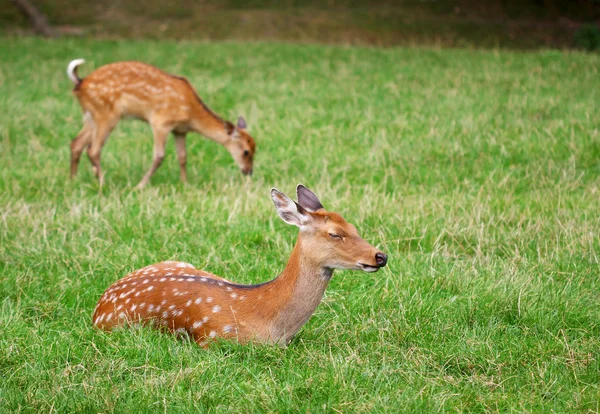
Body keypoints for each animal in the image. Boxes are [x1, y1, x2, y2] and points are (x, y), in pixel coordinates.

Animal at [66, 58, 258, 188]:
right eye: (246, 152)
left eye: (255, 149)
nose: (249, 171)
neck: (191, 114)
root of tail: (79, 83)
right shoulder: (160, 122)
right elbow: (159, 156)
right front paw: (140, 186)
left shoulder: (180, 130)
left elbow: (183, 157)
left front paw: (185, 184)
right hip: (106, 114)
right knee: (93, 149)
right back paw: (103, 183)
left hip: (90, 115)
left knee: (76, 143)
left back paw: (73, 180)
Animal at [91, 184, 386, 346]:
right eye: (335, 234)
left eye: (354, 227)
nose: (380, 256)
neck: (274, 327)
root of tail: (98, 308)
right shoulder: (213, 338)